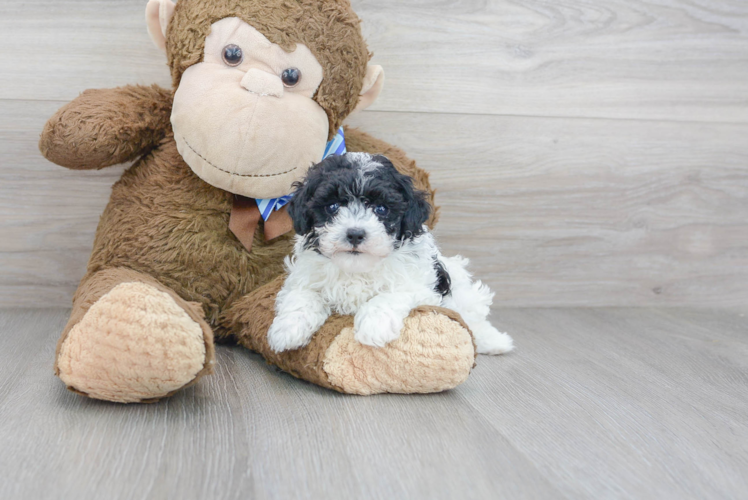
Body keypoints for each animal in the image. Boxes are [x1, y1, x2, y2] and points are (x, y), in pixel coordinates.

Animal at [268, 152, 516, 356]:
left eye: (381, 209)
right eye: (333, 207)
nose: (355, 234)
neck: (357, 268)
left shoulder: (421, 287)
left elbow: (389, 296)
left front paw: (373, 326)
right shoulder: (304, 277)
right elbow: (302, 296)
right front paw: (287, 329)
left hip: (461, 288)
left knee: (473, 318)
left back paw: (495, 342)